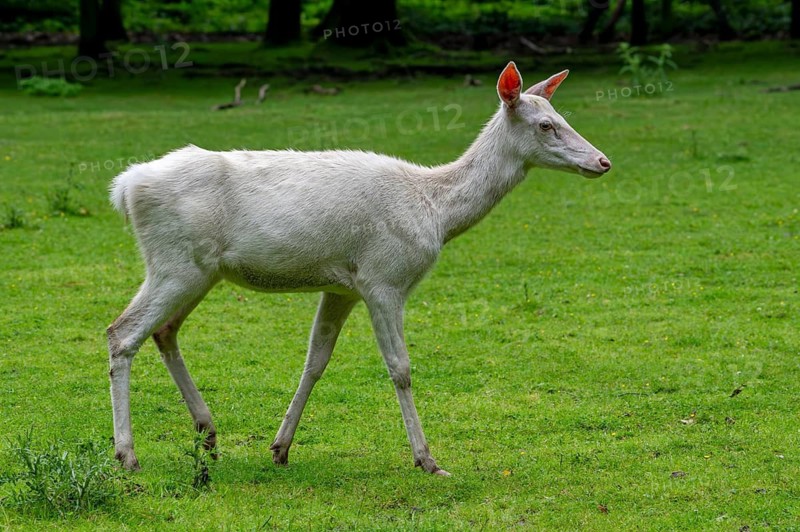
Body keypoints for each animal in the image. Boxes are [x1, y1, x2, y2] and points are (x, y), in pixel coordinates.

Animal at [107, 62, 611, 476]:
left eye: (563, 117)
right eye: (546, 125)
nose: (602, 161)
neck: (435, 213)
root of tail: (123, 188)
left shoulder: (343, 286)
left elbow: (315, 361)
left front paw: (280, 448)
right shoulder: (383, 278)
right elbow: (400, 367)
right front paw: (428, 460)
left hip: (199, 271)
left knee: (165, 330)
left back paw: (208, 434)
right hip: (174, 262)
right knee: (122, 332)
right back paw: (128, 455)